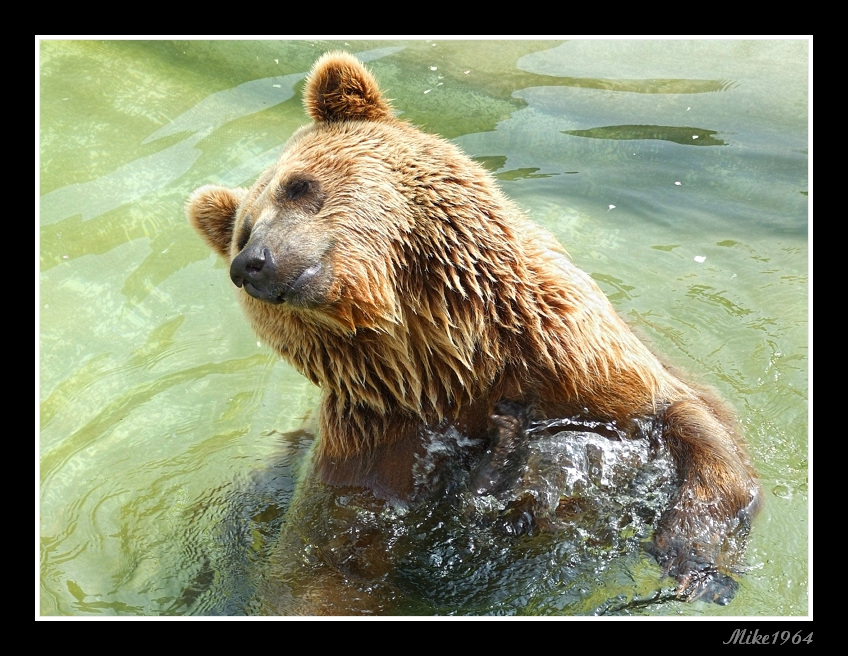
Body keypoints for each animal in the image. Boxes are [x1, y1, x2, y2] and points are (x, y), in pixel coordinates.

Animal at [187, 51, 762, 614]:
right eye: (243, 230)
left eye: (299, 186)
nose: (251, 262)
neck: (446, 361)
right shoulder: (373, 445)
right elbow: (323, 564)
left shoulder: (570, 359)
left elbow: (688, 425)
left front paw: (692, 558)